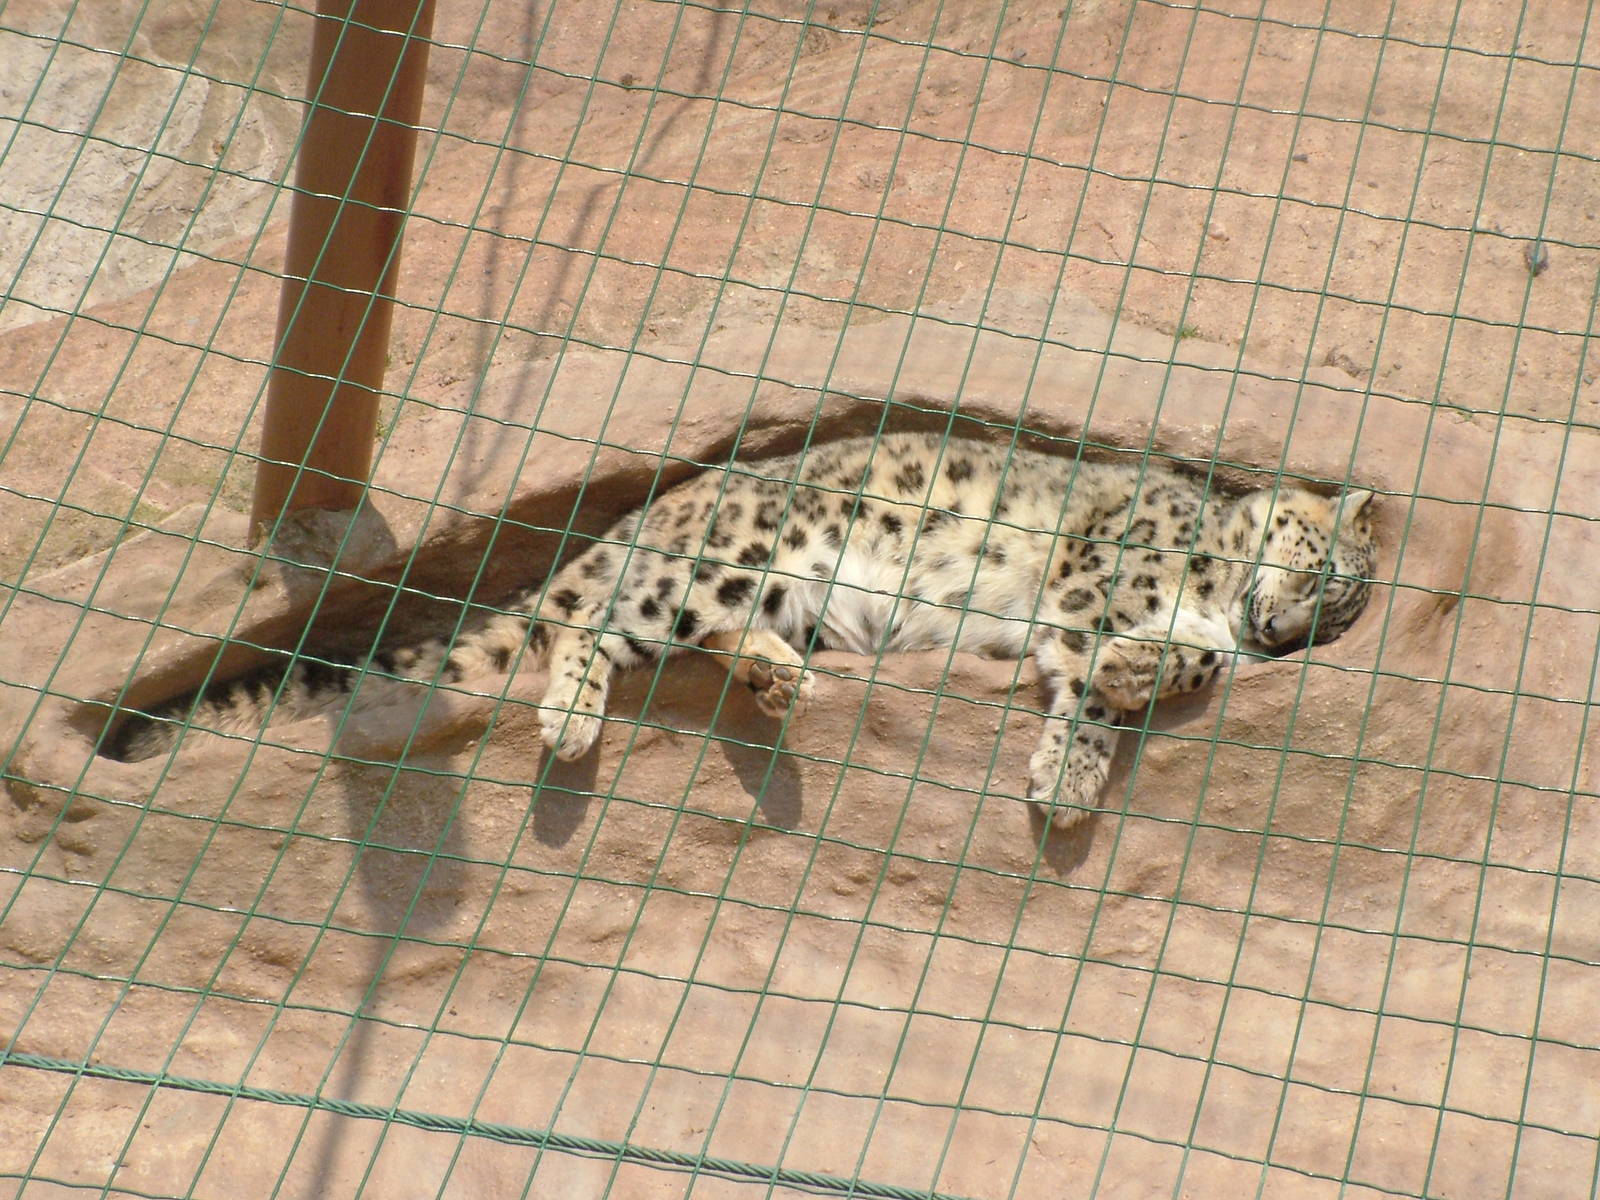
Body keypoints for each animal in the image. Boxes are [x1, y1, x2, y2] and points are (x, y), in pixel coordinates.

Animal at [108, 431, 1376, 830]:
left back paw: (775, 683)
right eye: (1322, 571)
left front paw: (1141, 684)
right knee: (576, 629)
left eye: (1339, 613)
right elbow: (1092, 672)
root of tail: (635, 523)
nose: (1282, 629)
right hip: (715, 561)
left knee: (691, 642)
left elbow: (1161, 665)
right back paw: (570, 722)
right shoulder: (1093, 576)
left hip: (765, 598)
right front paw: (1072, 768)